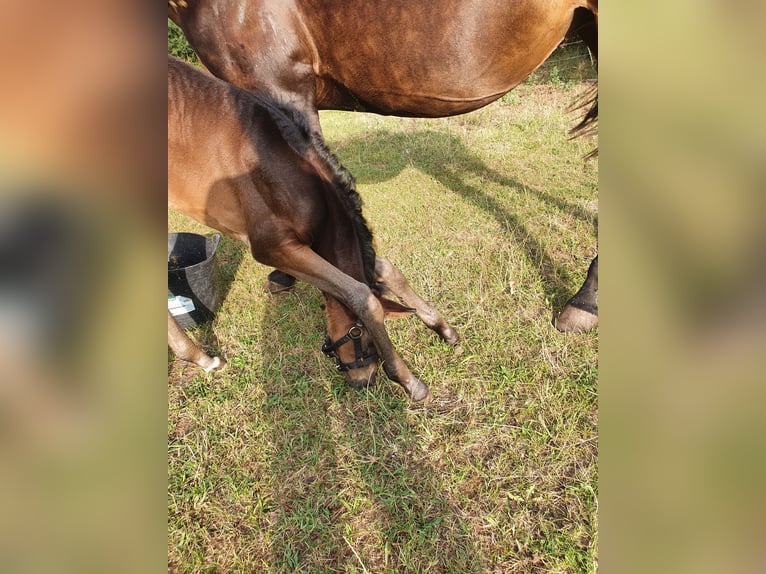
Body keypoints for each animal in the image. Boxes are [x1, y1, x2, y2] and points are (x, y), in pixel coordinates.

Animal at [167, 55, 460, 401]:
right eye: (359, 335)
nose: (363, 380)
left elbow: (386, 269)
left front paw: (443, 328)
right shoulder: (273, 247)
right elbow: (361, 295)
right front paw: (409, 381)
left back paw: (201, 357)